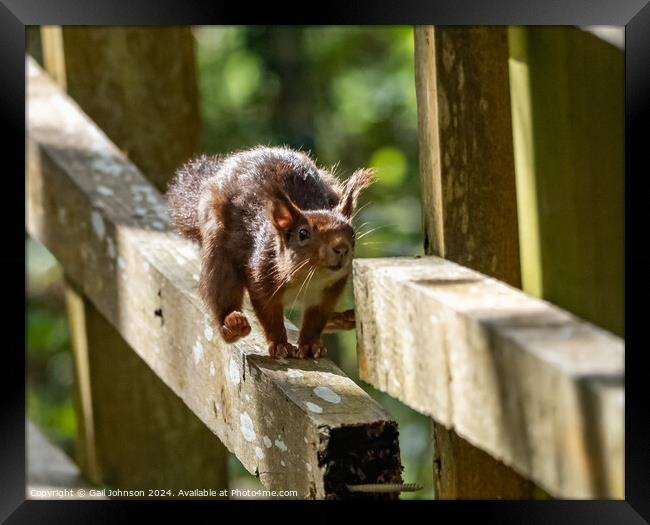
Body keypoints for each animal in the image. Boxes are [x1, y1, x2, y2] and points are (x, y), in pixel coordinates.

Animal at [165, 145, 372, 358]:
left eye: (353, 233)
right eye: (303, 234)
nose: (342, 248)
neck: (308, 278)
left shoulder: (327, 294)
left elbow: (316, 321)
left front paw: (310, 344)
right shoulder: (262, 275)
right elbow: (269, 314)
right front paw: (280, 344)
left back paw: (341, 319)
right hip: (218, 250)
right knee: (221, 290)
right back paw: (231, 325)